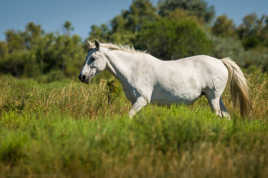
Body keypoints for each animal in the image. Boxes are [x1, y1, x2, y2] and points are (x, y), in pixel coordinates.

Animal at [78, 40, 250, 118]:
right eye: (86, 57)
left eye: (93, 58)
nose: (82, 77)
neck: (133, 69)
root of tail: (220, 61)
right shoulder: (135, 101)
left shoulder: (142, 100)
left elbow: (129, 116)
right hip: (215, 97)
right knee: (226, 116)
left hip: (213, 97)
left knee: (218, 115)